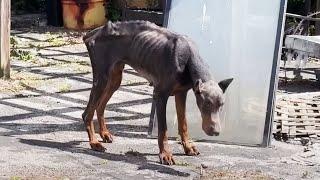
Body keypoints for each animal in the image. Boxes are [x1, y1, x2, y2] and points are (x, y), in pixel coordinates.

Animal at [82, 20, 232, 165]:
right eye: (206, 104)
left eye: (221, 105)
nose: (216, 132)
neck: (188, 56)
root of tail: (93, 33)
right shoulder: (160, 95)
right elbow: (162, 129)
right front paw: (165, 154)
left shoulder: (181, 93)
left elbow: (183, 123)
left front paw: (188, 146)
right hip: (101, 79)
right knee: (87, 114)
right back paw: (94, 143)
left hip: (114, 79)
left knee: (100, 106)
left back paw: (104, 134)